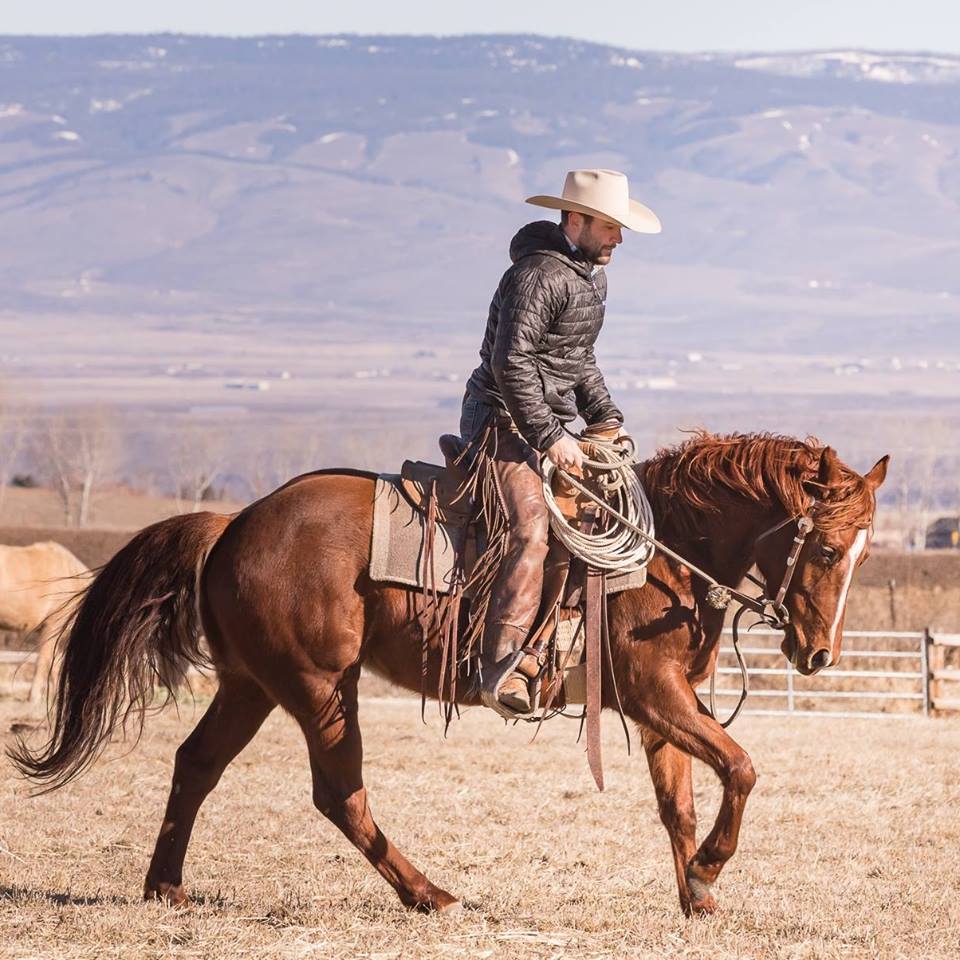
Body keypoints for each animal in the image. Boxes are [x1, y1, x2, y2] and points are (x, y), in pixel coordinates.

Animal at [9, 434, 892, 916]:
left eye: (861, 554)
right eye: (822, 547)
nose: (819, 656)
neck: (663, 555)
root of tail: (236, 522)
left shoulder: (658, 710)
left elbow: (679, 804)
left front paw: (697, 894)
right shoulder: (657, 695)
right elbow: (741, 768)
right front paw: (709, 871)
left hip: (251, 684)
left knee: (196, 764)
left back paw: (166, 887)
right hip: (321, 687)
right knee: (339, 794)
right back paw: (428, 894)